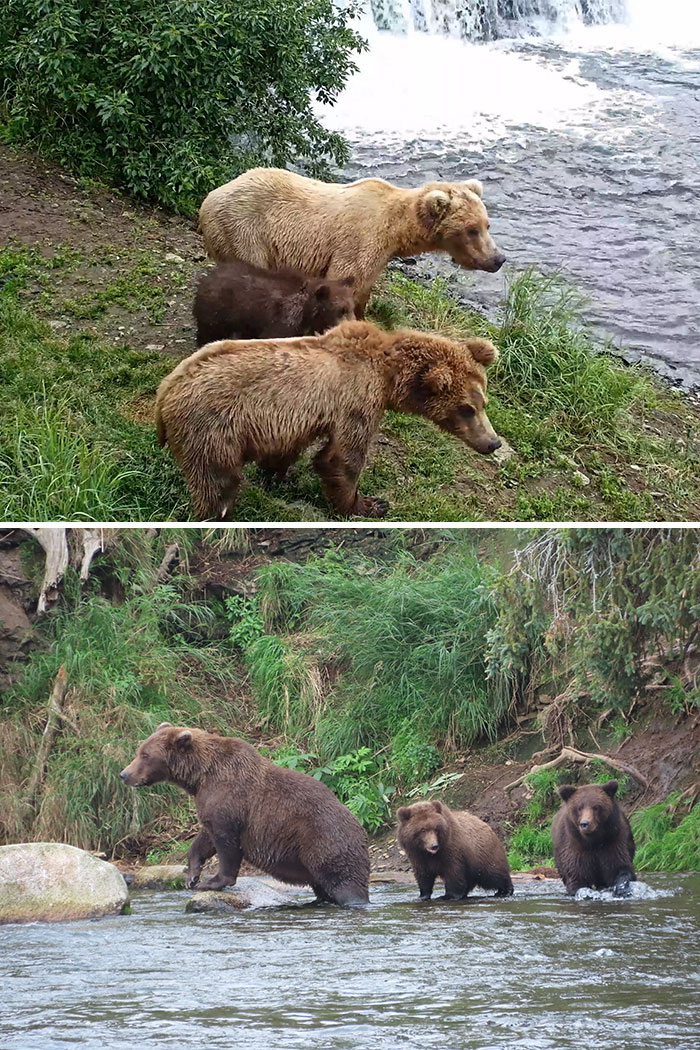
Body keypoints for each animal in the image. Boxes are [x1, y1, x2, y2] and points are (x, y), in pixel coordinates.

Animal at [120, 723, 370, 906]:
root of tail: (361, 830)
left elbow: (227, 844)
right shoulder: (209, 804)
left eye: (145, 755)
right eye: (139, 751)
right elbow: (204, 838)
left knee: (344, 883)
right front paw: (192, 875)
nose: (124, 774)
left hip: (326, 842)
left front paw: (211, 881)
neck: (200, 777)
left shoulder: (231, 801)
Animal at [154, 319, 501, 521]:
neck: (389, 375)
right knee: (218, 483)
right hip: (212, 428)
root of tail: (165, 390)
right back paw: (219, 515)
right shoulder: (357, 400)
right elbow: (342, 458)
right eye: (467, 409)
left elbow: (287, 449)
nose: (493, 442)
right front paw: (367, 505)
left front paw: (280, 474)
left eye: (484, 402)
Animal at [193, 259, 355, 346]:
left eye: (352, 307)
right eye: (341, 310)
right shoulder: (282, 320)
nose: (353, 325)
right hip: (217, 312)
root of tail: (205, 279)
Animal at [198, 168, 506, 319]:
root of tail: (209, 198)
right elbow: (348, 278)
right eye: (471, 230)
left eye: (486, 224)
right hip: (245, 231)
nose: (498, 259)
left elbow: (364, 290)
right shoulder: (360, 240)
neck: (396, 231)